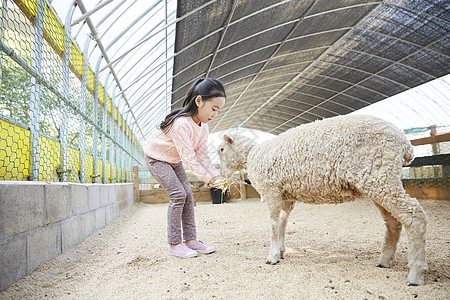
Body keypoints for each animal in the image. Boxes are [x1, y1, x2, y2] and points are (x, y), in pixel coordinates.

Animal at [218, 113, 428, 284]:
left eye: (221, 149)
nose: (221, 173)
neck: (252, 155)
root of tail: (405, 144)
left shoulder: (271, 191)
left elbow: (273, 225)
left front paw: (272, 256)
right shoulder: (285, 197)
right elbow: (283, 223)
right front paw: (282, 250)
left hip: (380, 177)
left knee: (414, 215)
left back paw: (416, 273)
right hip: (379, 179)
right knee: (394, 222)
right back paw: (384, 261)